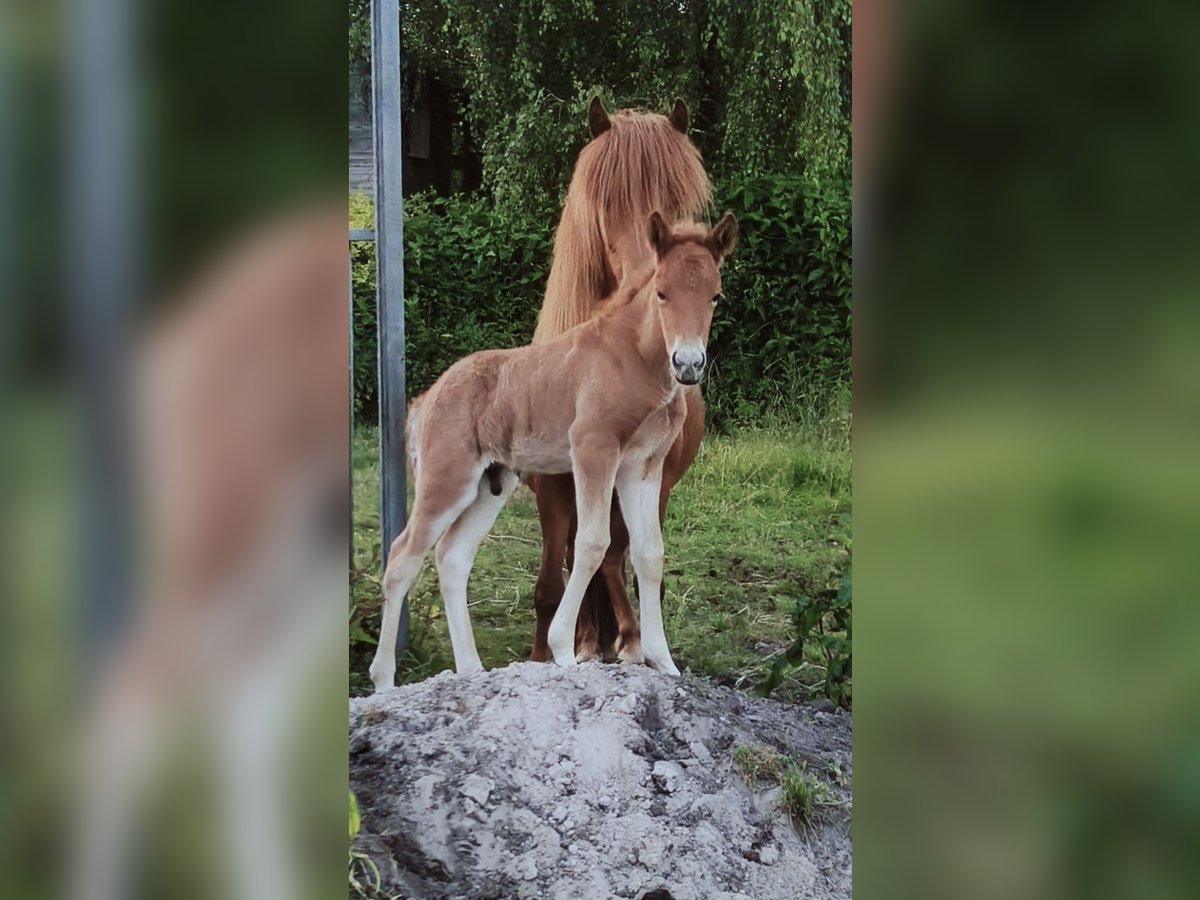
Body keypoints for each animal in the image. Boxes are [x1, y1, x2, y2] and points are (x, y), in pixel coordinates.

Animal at [369, 213, 734, 691]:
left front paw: (663, 661)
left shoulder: (643, 466)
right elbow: (592, 543)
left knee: (452, 557)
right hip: (447, 480)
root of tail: (427, 398)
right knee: (402, 556)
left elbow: (649, 553)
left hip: (491, 485)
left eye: (714, 295)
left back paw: (471, 671)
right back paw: (383, 681)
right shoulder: (593, 449)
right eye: (661, 292)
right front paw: (564, 649)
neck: (633, 360)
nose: (688, 364)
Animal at [528, 97, 710, 662]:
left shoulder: (651, 476)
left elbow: (621, 559)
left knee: (617, 557)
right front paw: (548, 654)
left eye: (677, 200)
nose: (650, 283)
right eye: (605, 201)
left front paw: (631, 641)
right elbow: (552, 582)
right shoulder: (553, 488)